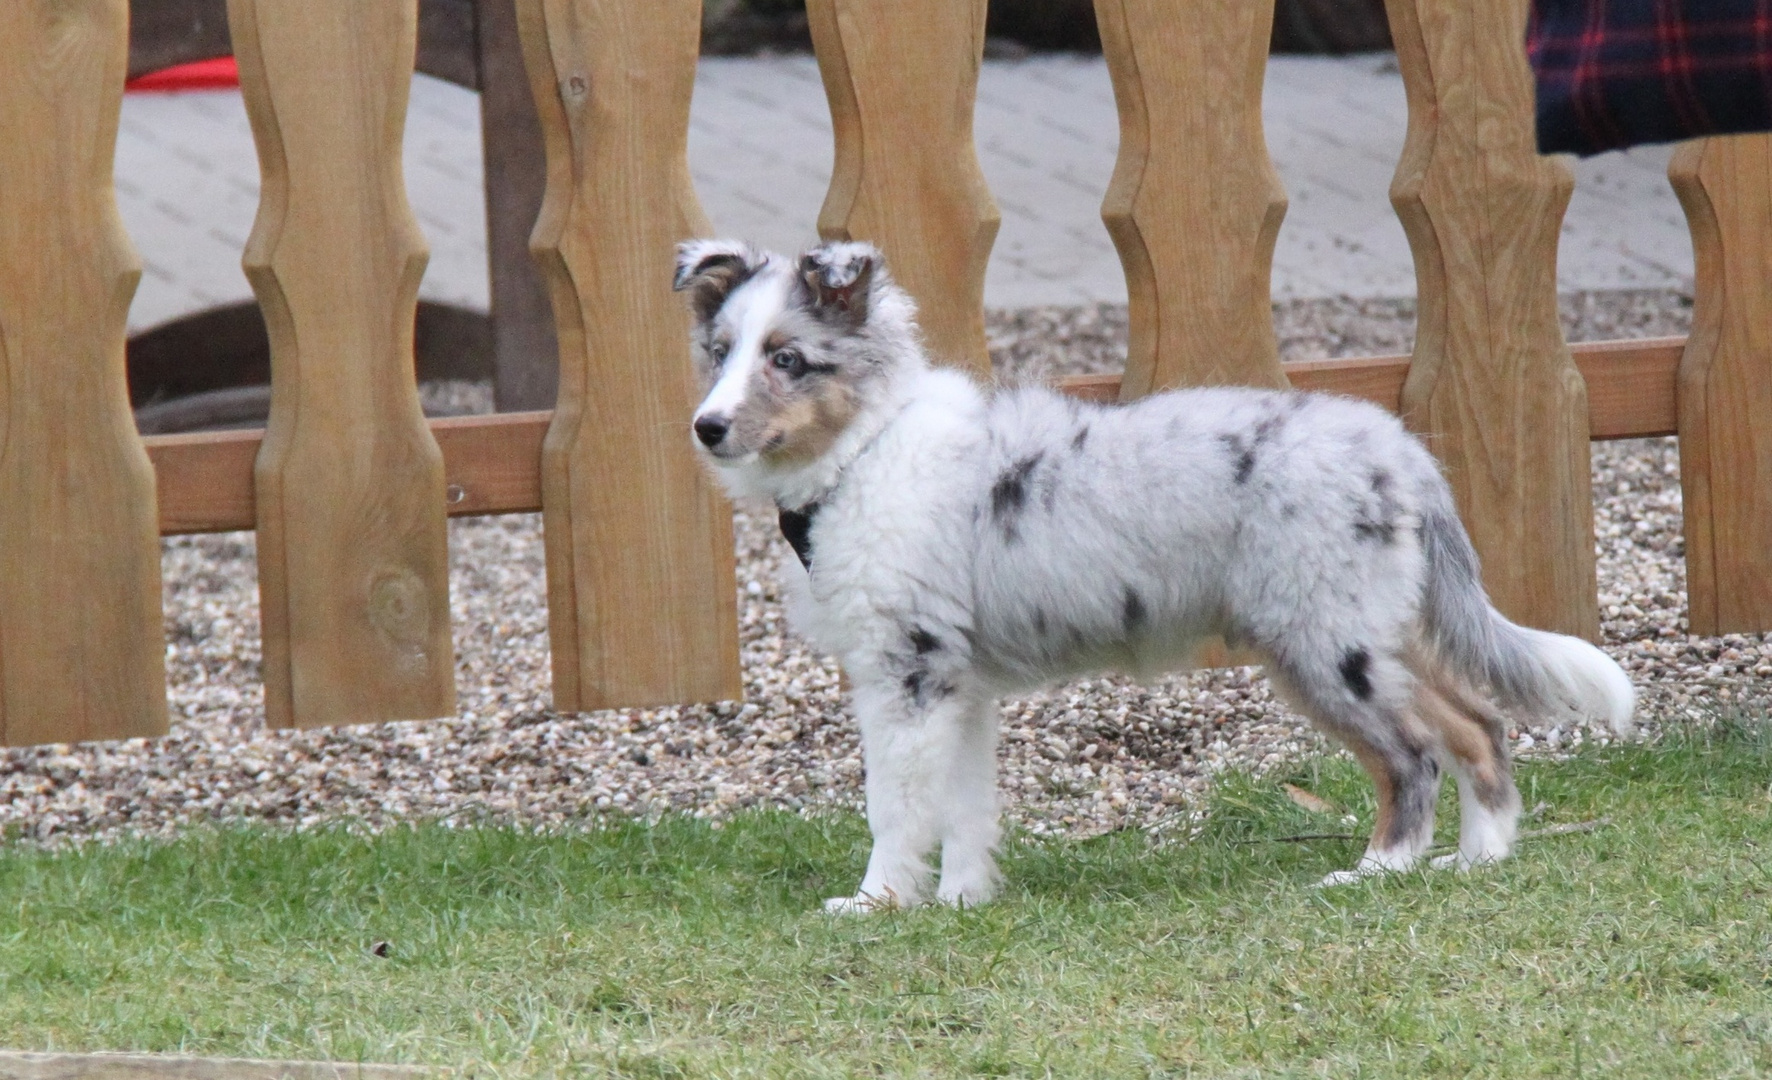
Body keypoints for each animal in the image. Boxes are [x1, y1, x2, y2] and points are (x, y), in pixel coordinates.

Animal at [666, 237, 1630, 907]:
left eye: (787, 359)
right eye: (718, 351)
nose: (706, 429)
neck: (866, 450)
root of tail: (1403, 454)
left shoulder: (906, 675)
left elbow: (896, 806)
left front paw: (876, 904)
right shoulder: (958, 687)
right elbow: (967, 806)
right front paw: (965, 901)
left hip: (1323, 644)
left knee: (1415, 752)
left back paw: (1378, 872)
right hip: (1377, 628)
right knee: (1477, 724)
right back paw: (1480, 858)